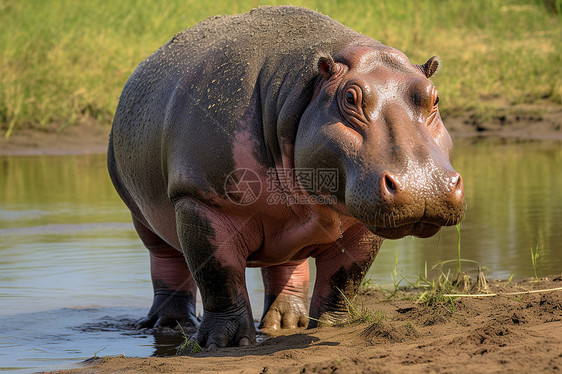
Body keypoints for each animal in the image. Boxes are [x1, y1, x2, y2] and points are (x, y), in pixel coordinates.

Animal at [107, 5, 462, 350]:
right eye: (350, 97)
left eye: (435, 97)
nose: (423, 185)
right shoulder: (200, 201)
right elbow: (219, 276)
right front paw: (222, 343)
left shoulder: (361, 224)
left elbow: (345, 277)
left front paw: (337, 327)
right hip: (142, 215)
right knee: (166, 263)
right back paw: (170, 325)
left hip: (284, 230)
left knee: (287, 266)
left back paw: (288, 324)